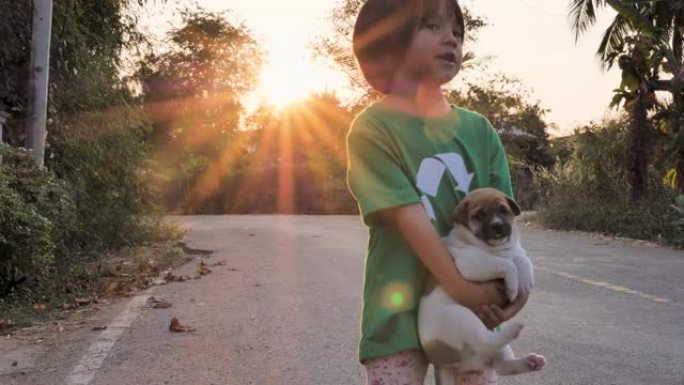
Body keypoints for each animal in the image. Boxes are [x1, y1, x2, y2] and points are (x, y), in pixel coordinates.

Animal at [416, 188, 544, 382]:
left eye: (504, 210)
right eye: (479, 215)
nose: (497, 226)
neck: (495, 248)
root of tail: (442, 364)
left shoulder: (514, 251)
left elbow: (521, 258)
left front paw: (526, 279)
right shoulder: (471, 263)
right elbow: (506, 264)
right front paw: (514, 286)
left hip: (493, 348)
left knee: (502, 365)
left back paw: (532, 362)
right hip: (460, 317)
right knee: (482, 341)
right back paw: (513, 330)